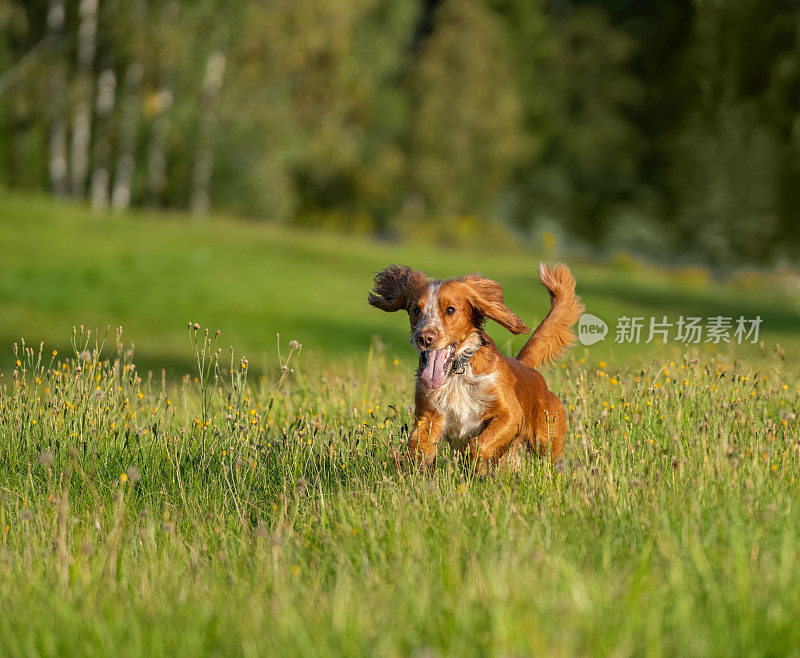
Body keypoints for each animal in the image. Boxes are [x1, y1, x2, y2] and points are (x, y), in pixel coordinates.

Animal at [368, 264, 580, 468]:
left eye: (450, 310)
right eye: (416, 310)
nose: (424, 338)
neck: (456, 375)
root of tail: (526, 366)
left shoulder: (510, 414)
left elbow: (478, 444)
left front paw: (474, 466)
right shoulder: (428, 416)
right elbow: (418, 450)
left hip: (547, 439)